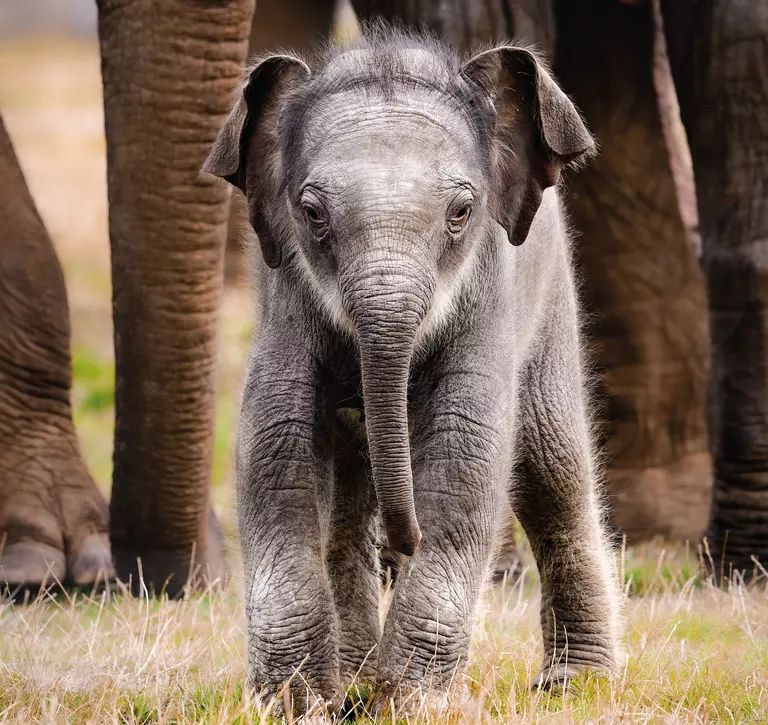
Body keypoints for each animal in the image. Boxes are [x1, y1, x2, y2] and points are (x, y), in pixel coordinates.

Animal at [203, 29, 622, 705]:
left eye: (461, 213)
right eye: (312, 214)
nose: (404, 542)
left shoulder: (490, 291)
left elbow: (464, 447)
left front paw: (405, 700)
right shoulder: (283, 290)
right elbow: (275, 441)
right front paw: (298, 702)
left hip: (554, 298)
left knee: (552, 471)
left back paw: (574, 687)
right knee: (347, 499)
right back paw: (350, 677)